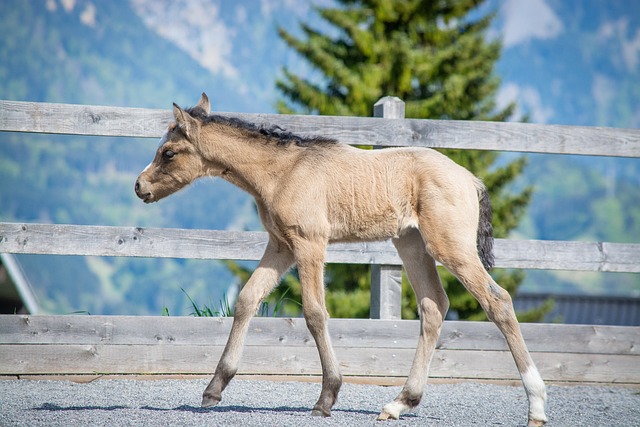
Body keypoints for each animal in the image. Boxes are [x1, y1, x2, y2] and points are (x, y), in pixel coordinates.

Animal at [135, 93, 544, 424]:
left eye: (168, 152)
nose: (140, 186)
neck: (282, 172)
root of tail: (470, 180)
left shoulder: (310, 243)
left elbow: (315, 313)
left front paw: (327, 396)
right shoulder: (280, 246)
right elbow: (248, 299)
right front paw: (214, 388)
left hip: (450, 247)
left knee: (497, 300)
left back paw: (536, 406)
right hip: (411, 244)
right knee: (433, 307)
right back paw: (399, 403)